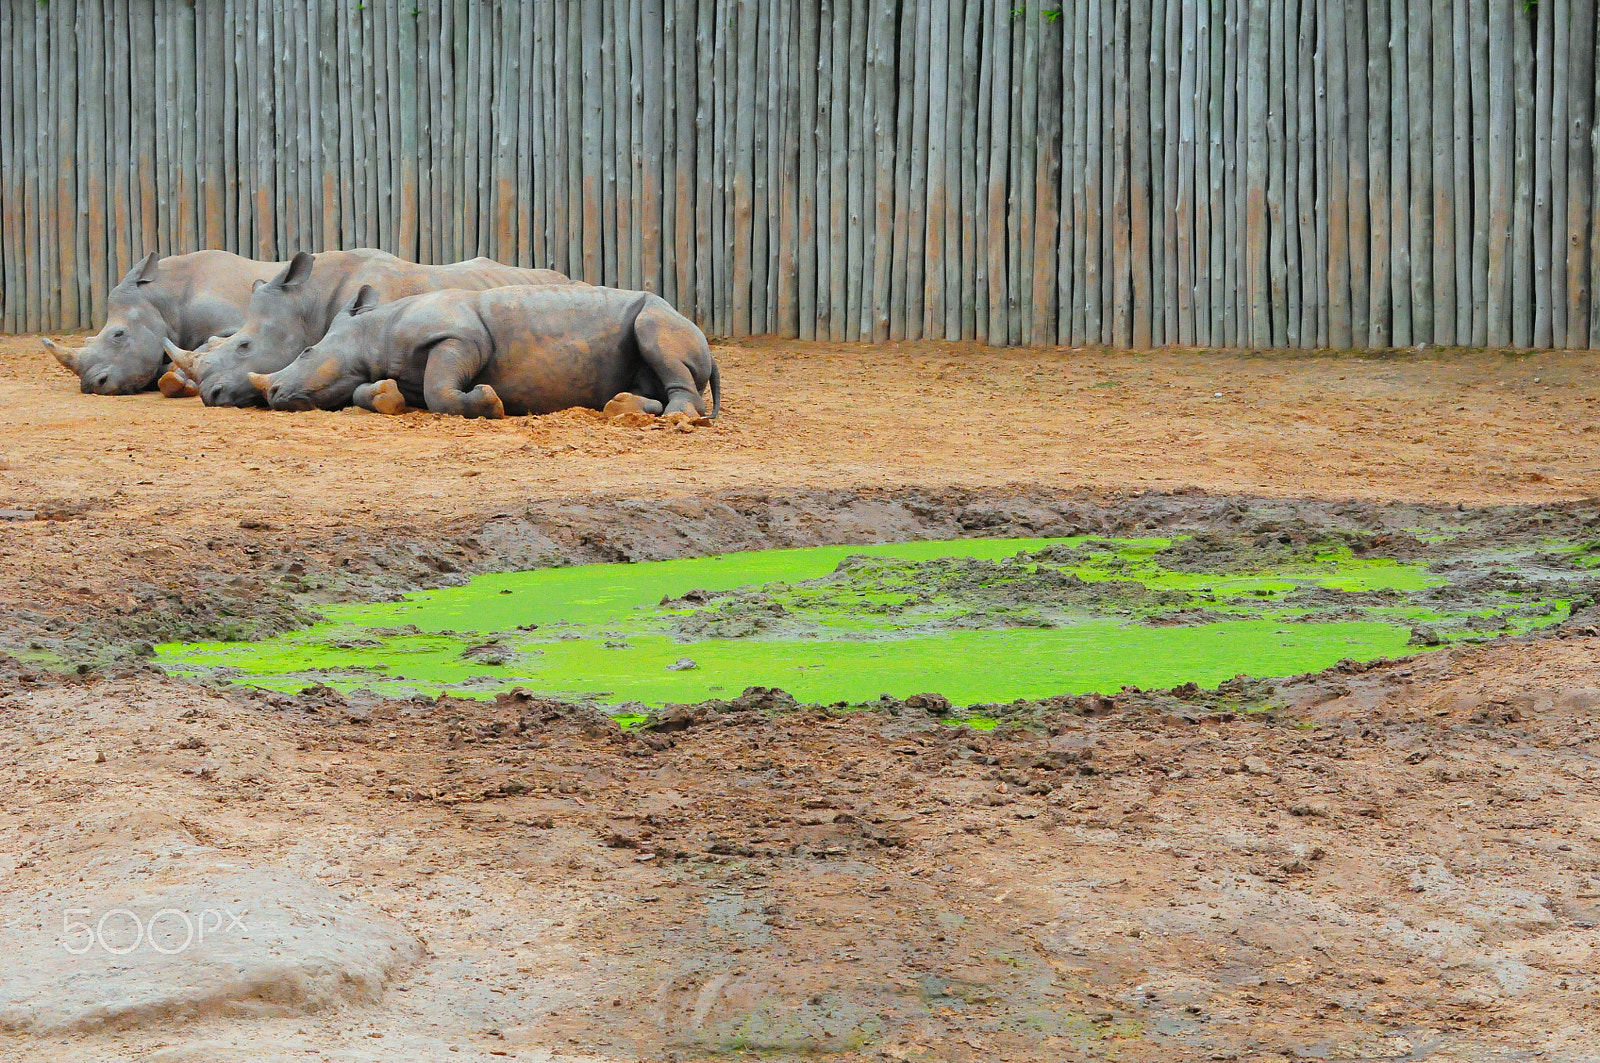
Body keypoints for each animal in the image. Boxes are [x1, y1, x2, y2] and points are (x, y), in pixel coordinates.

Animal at [41, 250, 286, 395]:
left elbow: (210, 346)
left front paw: (174, 381)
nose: (92, 386)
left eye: (119, 334)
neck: (164, 297)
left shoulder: (235, 325)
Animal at [252, 284, 721, 420]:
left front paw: (490, 403)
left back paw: (677, 417)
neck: (374, 330)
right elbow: (364, 390)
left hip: (662, 317)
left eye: (306, 351)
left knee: (654, 330)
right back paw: (621, 407)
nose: (271, 395)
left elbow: (441, 390)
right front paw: (386, 398)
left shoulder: (459, 337)